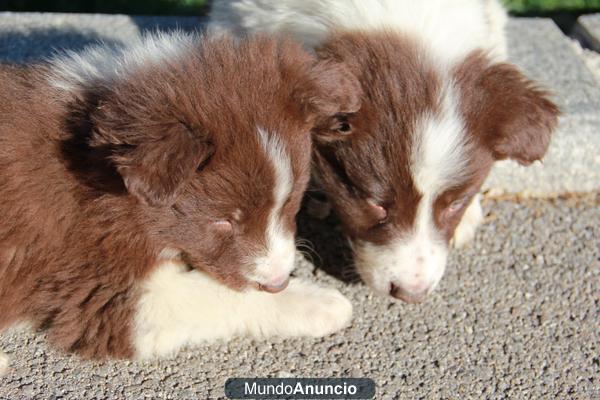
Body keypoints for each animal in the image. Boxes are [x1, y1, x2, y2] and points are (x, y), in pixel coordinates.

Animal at [0, 32, 360, 372]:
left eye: (289, 202)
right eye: (223, 221)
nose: (277, 282)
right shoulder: (98, 285)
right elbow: (216, 295)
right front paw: (321, 304)